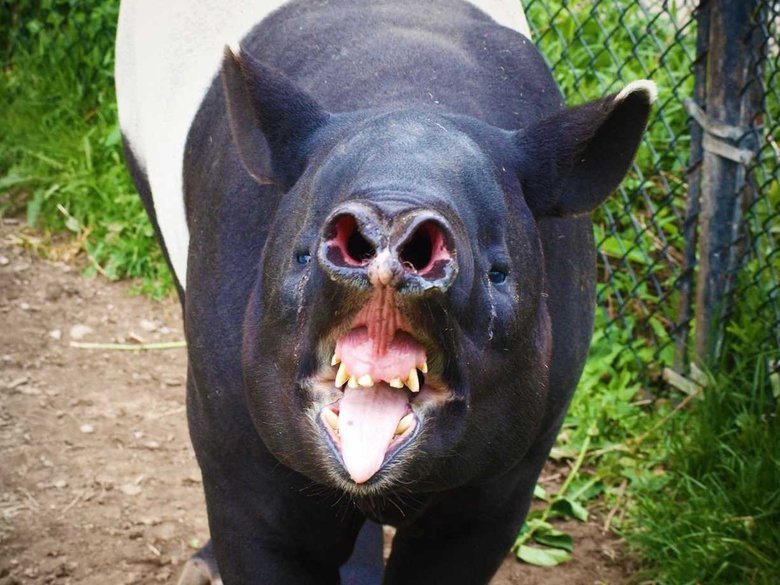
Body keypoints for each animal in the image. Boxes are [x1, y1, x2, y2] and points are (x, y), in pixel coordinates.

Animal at [116, 0, 655, 583]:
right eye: (299, 254)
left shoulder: (507, 477)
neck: (415, 98)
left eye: (500, 272)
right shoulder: (237, 445)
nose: (391, 234)